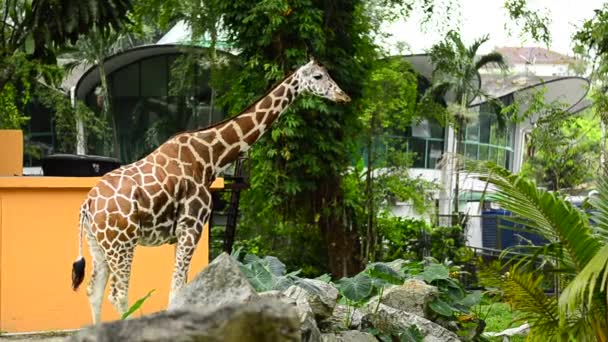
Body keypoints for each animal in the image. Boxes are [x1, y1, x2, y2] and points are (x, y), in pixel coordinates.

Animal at [70, 58, 352, 324]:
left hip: (100, 245)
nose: (343, 96)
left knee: (94, 290)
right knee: (118, 294)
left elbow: (179, 288)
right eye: (318, 76)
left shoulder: (180, 233)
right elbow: (177, 290)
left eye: (328, 74)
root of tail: (87, 204)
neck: (209, 158)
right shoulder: (191, 225)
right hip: (122, 243)